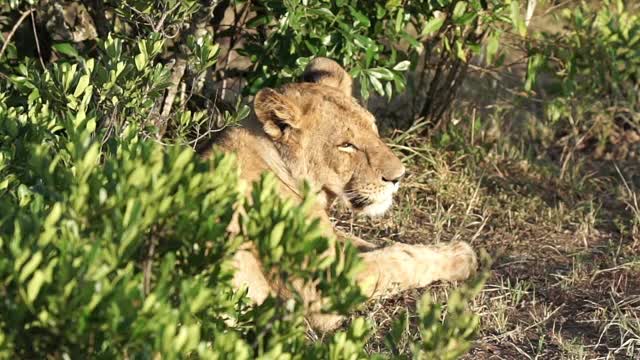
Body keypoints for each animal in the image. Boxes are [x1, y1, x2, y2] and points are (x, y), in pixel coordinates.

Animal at [202, 57, 478, 330]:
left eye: (373, 128)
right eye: (346, 145)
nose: (398, 176)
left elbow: (372, 245)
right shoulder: (323, 288)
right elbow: (398, 260)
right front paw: (461, 255)